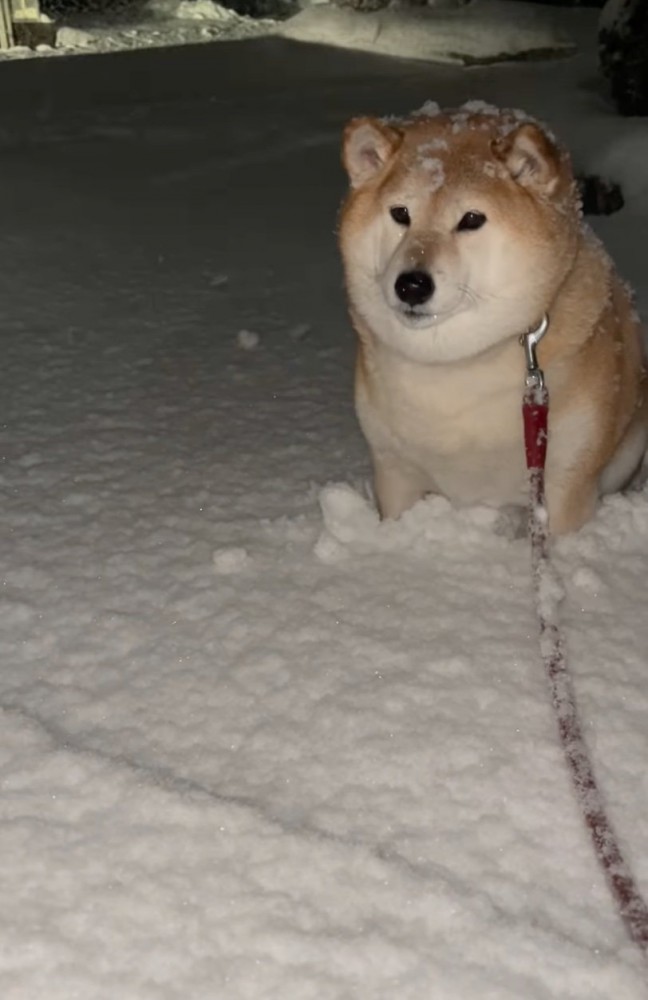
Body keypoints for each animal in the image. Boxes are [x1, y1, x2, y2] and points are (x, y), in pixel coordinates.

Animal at [340, 100, 648, 536]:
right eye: (400, 213)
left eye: (471, 219)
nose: (412, 285)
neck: (457, 368)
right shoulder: (394, 473)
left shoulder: (566, 482)